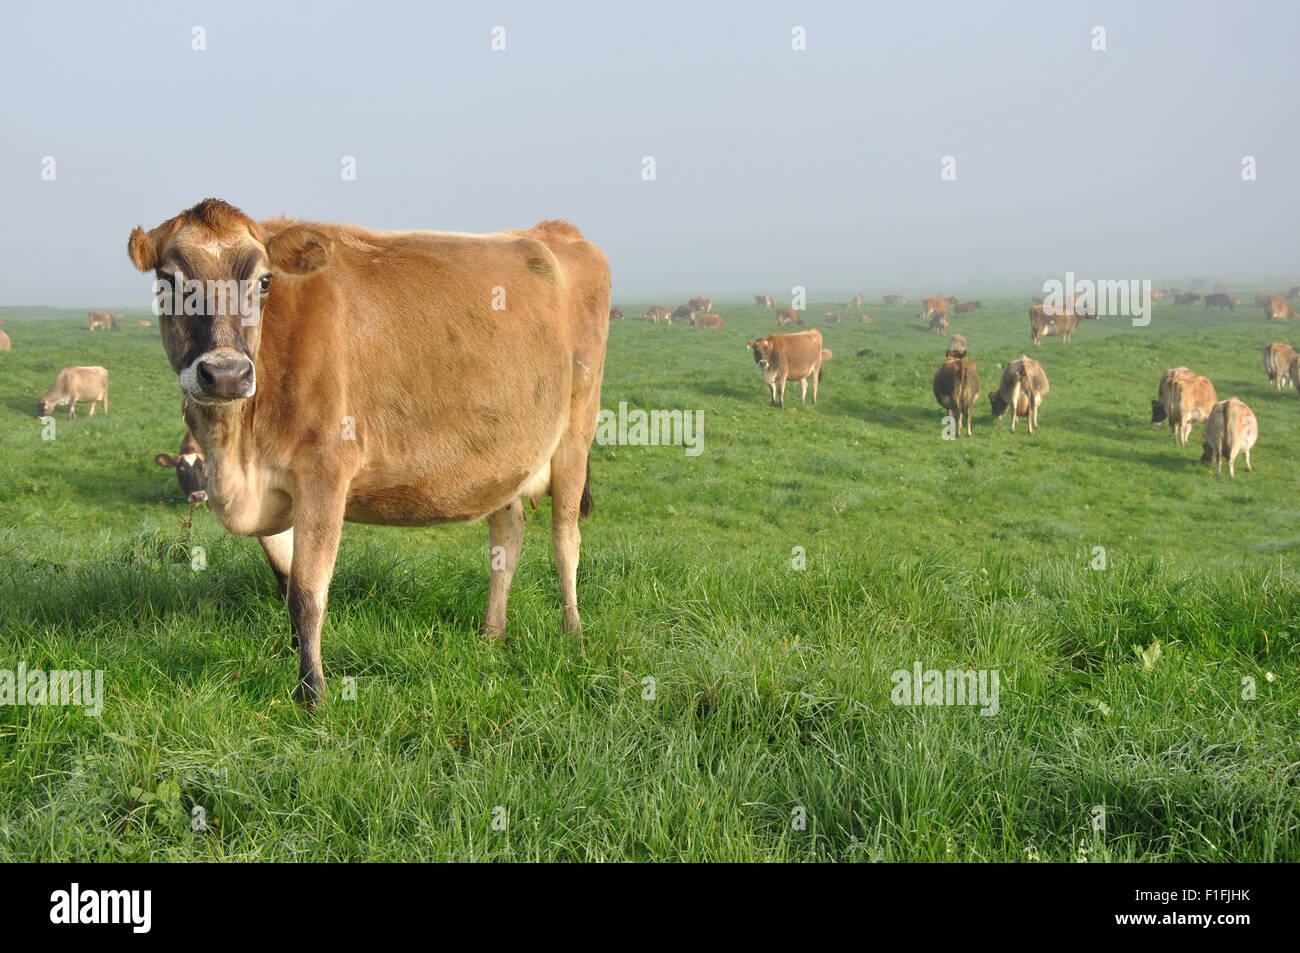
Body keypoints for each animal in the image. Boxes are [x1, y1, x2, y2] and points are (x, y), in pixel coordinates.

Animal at [128, 198, 610, 706]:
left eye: (263, 281)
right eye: (168, 281)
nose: (225, 374)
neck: (234, 449)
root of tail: (553, 230)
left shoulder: (324, 470)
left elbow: (307, 592)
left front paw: (313, 693)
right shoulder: (274, 489)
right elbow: (285, 581)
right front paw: (297, 662)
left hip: (576, 432)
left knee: (565, 539)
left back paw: (573, 634)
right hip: (502, 458)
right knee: (508, 533)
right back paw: (491, 634)